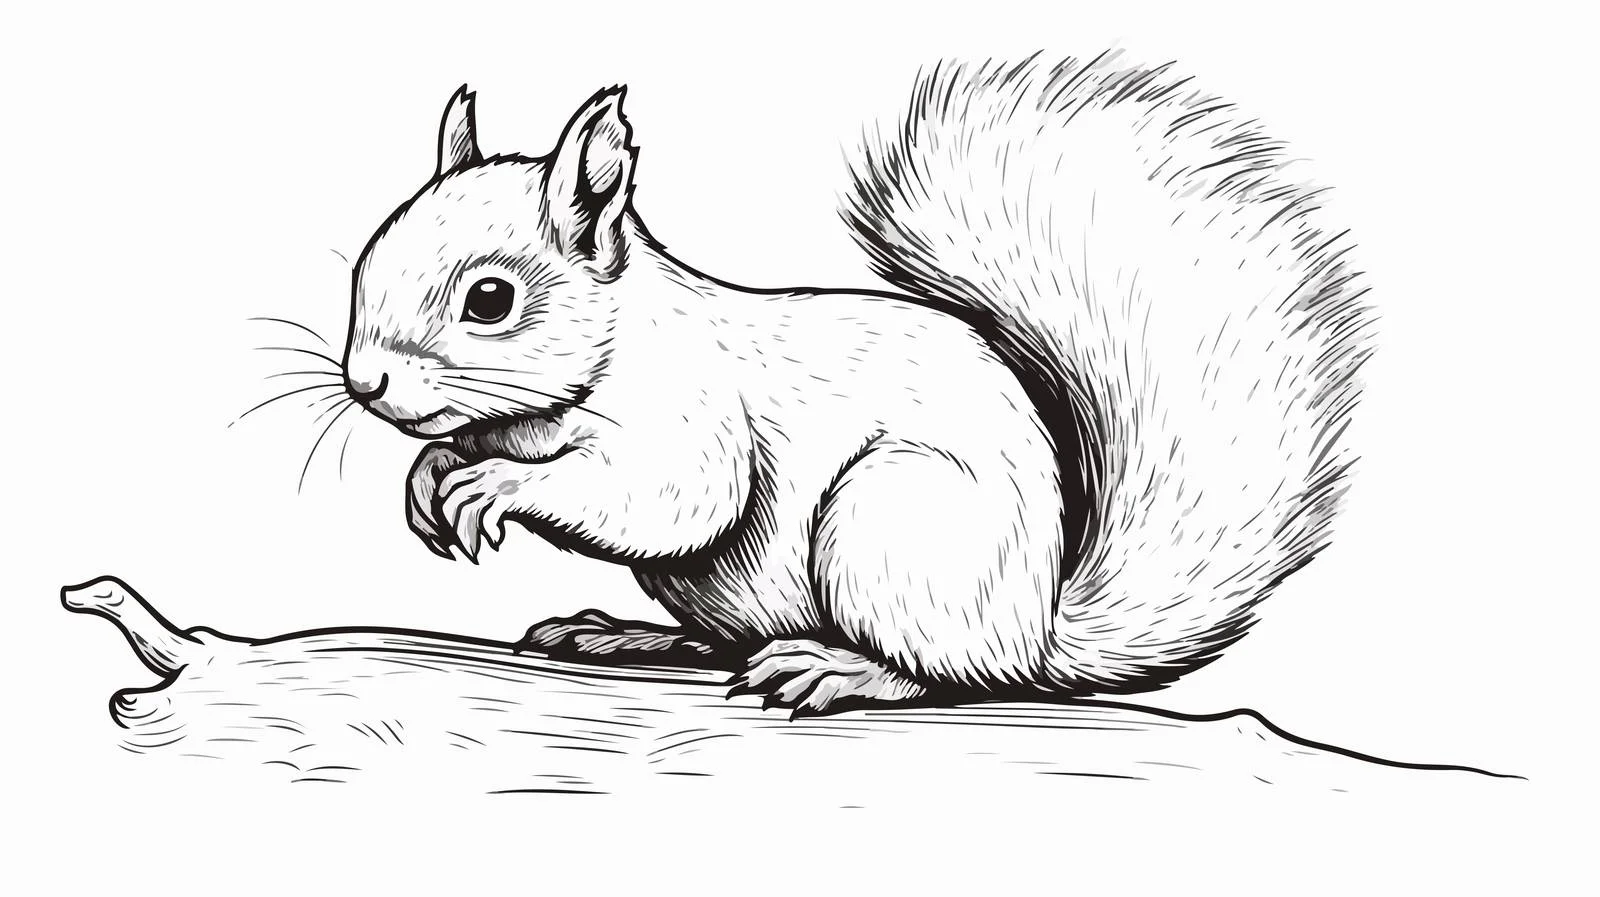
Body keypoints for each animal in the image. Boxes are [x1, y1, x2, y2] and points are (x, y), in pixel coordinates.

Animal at [341, 51, 1374, 715]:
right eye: (366, 258)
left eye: (490, 298)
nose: (366, 382)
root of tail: (1035, 624)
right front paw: (431, 474)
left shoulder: (693, 414)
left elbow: (670, 498)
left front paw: (490, 486)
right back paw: (628, 635)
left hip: (892, 525)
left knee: (957, 677)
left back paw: (842, 672)